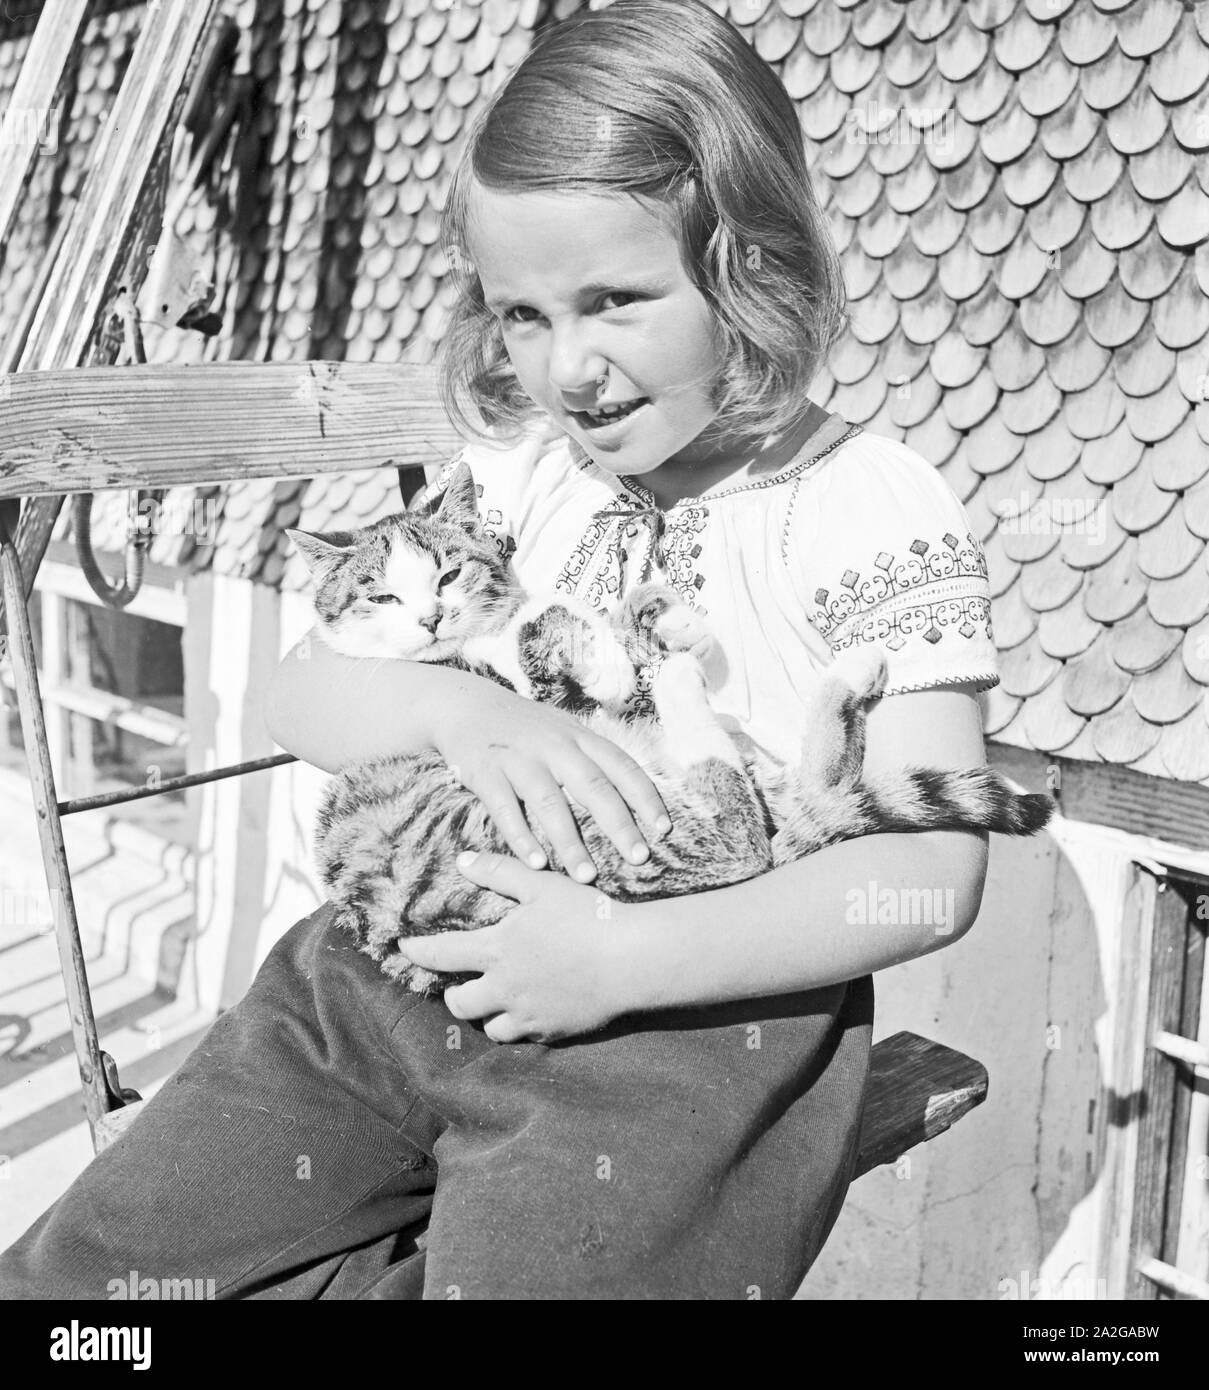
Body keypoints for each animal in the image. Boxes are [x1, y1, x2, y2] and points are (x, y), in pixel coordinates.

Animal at [290, 467, 1050, 1000]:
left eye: (450, 572)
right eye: (381, 595)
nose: (429, 619)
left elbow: (613, 622)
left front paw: (660, 617)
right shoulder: (514, 690)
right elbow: (549, 643)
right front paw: (613, 650)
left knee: (810, 793)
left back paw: (845, 673)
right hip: (569, 832)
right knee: (739, 838)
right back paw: (690, 688)